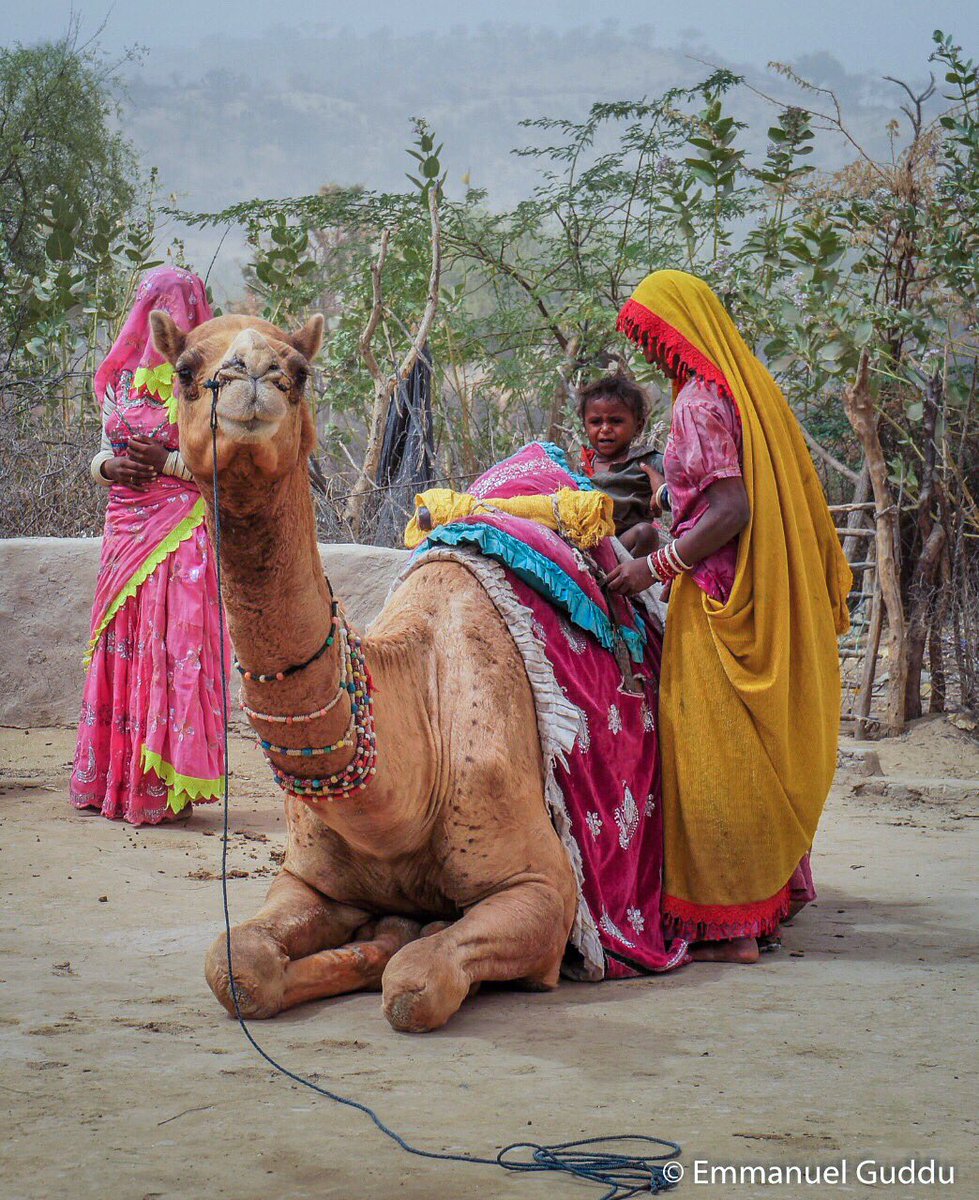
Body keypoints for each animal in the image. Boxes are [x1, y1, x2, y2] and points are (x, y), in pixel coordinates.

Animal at [150, 310, 578, 1032]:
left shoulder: (547, 890)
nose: (251, 377)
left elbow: (415, 984)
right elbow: (236, 967)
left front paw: (404, 942)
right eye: (184, 368)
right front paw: (382, 934)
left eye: (298, 372)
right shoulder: (308, 879)